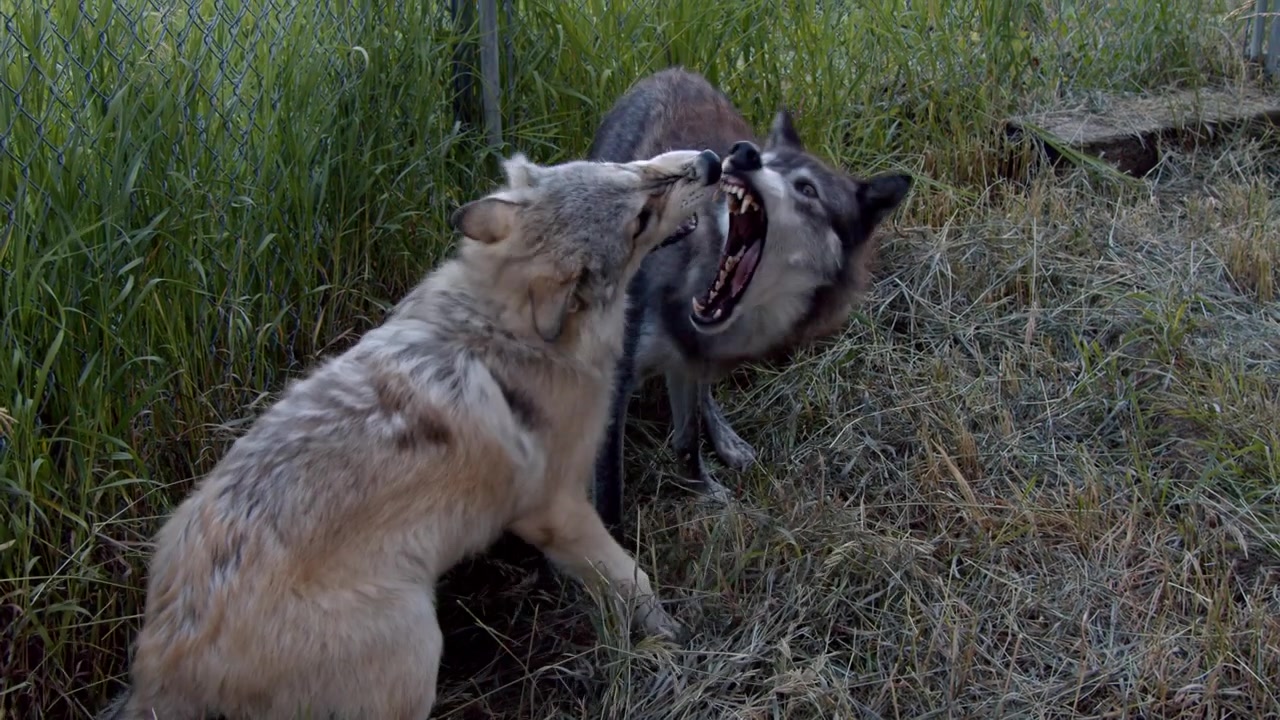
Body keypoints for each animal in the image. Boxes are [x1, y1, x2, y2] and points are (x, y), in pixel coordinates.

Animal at [97, 147, 722, 720]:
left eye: (625, 169)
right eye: (642, 216)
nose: (712, 161)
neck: (502, 327)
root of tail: (159, 669)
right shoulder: (556, 509)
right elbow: (632, 576)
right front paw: (670, 634)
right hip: (418, 645)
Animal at [588, 67, 913, 531]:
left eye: (807, 189)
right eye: (767, 160)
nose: (742, 154)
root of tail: (674, 70)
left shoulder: (692, 358)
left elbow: (688, 441)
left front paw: (700, 487)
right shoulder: (617, 380)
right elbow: (611, 499)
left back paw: (726, 439)